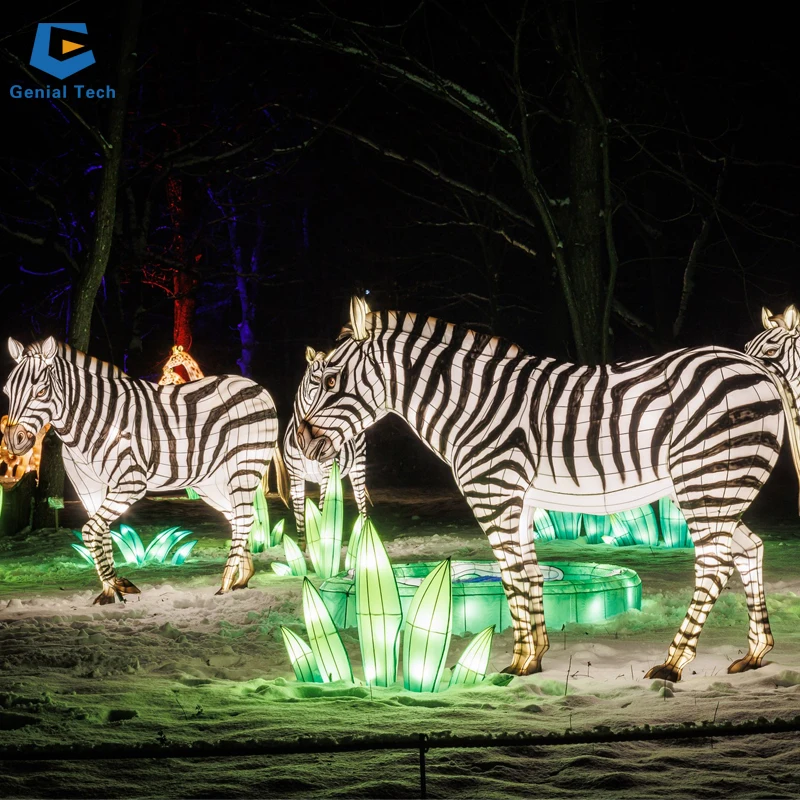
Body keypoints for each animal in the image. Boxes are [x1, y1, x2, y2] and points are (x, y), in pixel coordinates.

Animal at [2, 336, 286, 604]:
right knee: (239, 518)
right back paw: (242, 578)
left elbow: (90, 531)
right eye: (6, 391)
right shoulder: (88, 489)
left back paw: (226, 582)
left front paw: (119, 584)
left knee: (244, 518)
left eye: (41, 391)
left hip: (244, 466)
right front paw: (110, 594)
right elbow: (101, 534)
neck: (90, 420)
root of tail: (258, 387)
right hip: (211, 483)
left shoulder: (130, 482)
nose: (14, 441)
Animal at [284, 346, 370, 547]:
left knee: (361, 501)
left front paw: (321, 542)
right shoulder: (295, 475)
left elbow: (323, 507)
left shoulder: (327, 470)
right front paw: (302, 545)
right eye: (316, 378)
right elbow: (299, 511)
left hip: (358, 466)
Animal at [296, 296, 787, 680]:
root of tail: (754, 365)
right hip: (726, 488)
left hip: (706, 480)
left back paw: (674, 663)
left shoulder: (494, 495)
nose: (301, 442)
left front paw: (517, 663)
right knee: (749, 549)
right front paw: (534, 658)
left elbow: (512, 576)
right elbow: (529, 574)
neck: (470, 404)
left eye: (331, 380)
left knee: (713, 564)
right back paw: (755, 654)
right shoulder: (521, 502)